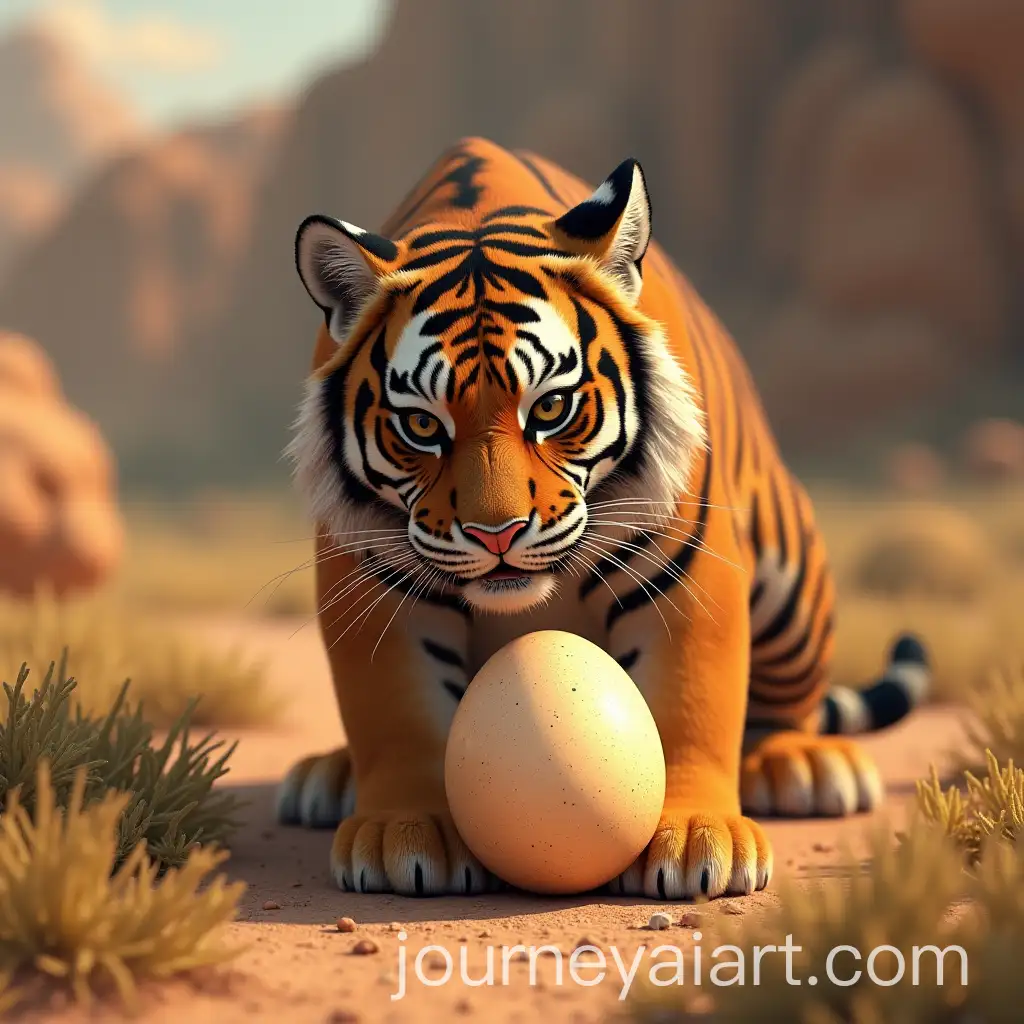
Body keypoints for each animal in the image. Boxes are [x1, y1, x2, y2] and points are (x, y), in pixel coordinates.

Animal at [276, 136, 930, 900]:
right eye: (422, 425)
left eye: (551, 408)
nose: (496, 534)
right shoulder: (376, 577)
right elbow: (396, 710)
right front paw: (403, 829)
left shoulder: (686, 569)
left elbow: (689, 700)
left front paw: (695, 836)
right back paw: (329, 776)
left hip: (791, 577)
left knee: (784, 702)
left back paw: (800, 763)